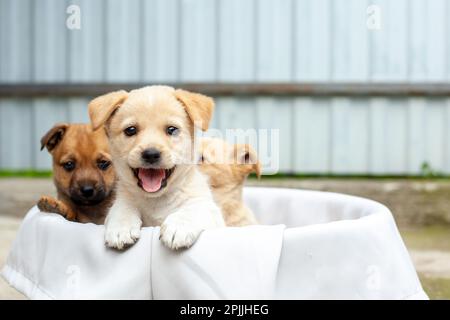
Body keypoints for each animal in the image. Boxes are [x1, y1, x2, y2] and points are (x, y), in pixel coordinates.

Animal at [89, 86, 225, 251]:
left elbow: (193, 209)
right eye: (130, 130)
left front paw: (179, 226)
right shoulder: (123, 200)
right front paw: (121, 228)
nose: (151, 154)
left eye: (172, 129)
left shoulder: (209, 210)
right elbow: (122, 208)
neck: (156, 200)